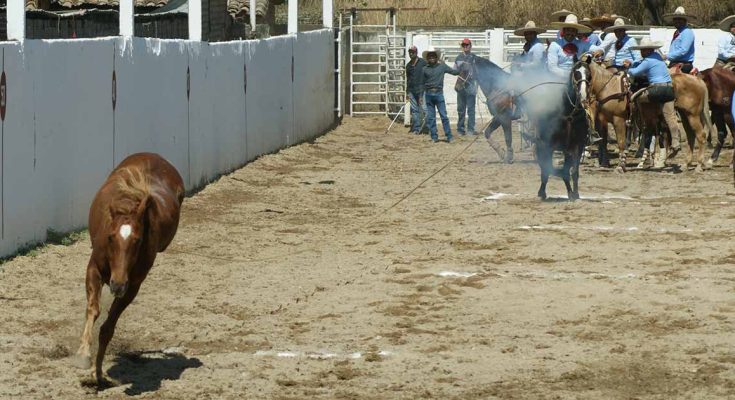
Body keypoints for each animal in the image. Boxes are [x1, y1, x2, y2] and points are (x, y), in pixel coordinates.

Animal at [74, 152, 184, 384]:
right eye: (110, 237)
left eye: (138, 240)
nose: (116, 284)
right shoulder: (94, 269)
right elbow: (93, 309)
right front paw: (83, 356)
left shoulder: (132, 286)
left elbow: (108, 328)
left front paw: (98, 374)